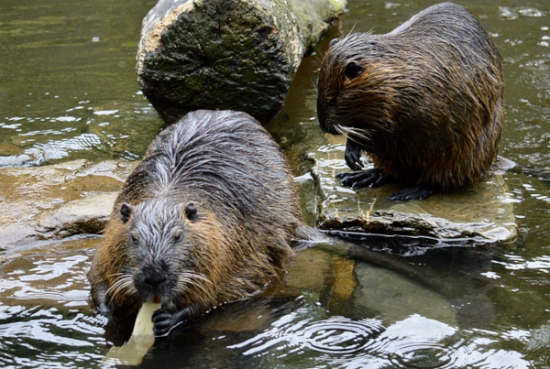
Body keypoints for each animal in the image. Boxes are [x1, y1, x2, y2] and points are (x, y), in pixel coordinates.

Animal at [85, 109, 310, 336]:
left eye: (178, 235)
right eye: (133, 237)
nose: (154, 277)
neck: (166, 195)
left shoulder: (235, 251)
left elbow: (219, 294)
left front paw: (170, 318)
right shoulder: (109, 240)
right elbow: (96, 275)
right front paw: (108, 310)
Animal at [316, 1, 506, 200]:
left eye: (334, 98)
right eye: (318, 87)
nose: (324, 127)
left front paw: (356, 150)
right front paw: (352, 155)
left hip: (473, 154)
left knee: (442, 179)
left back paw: (408, 192)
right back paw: (364, 176)